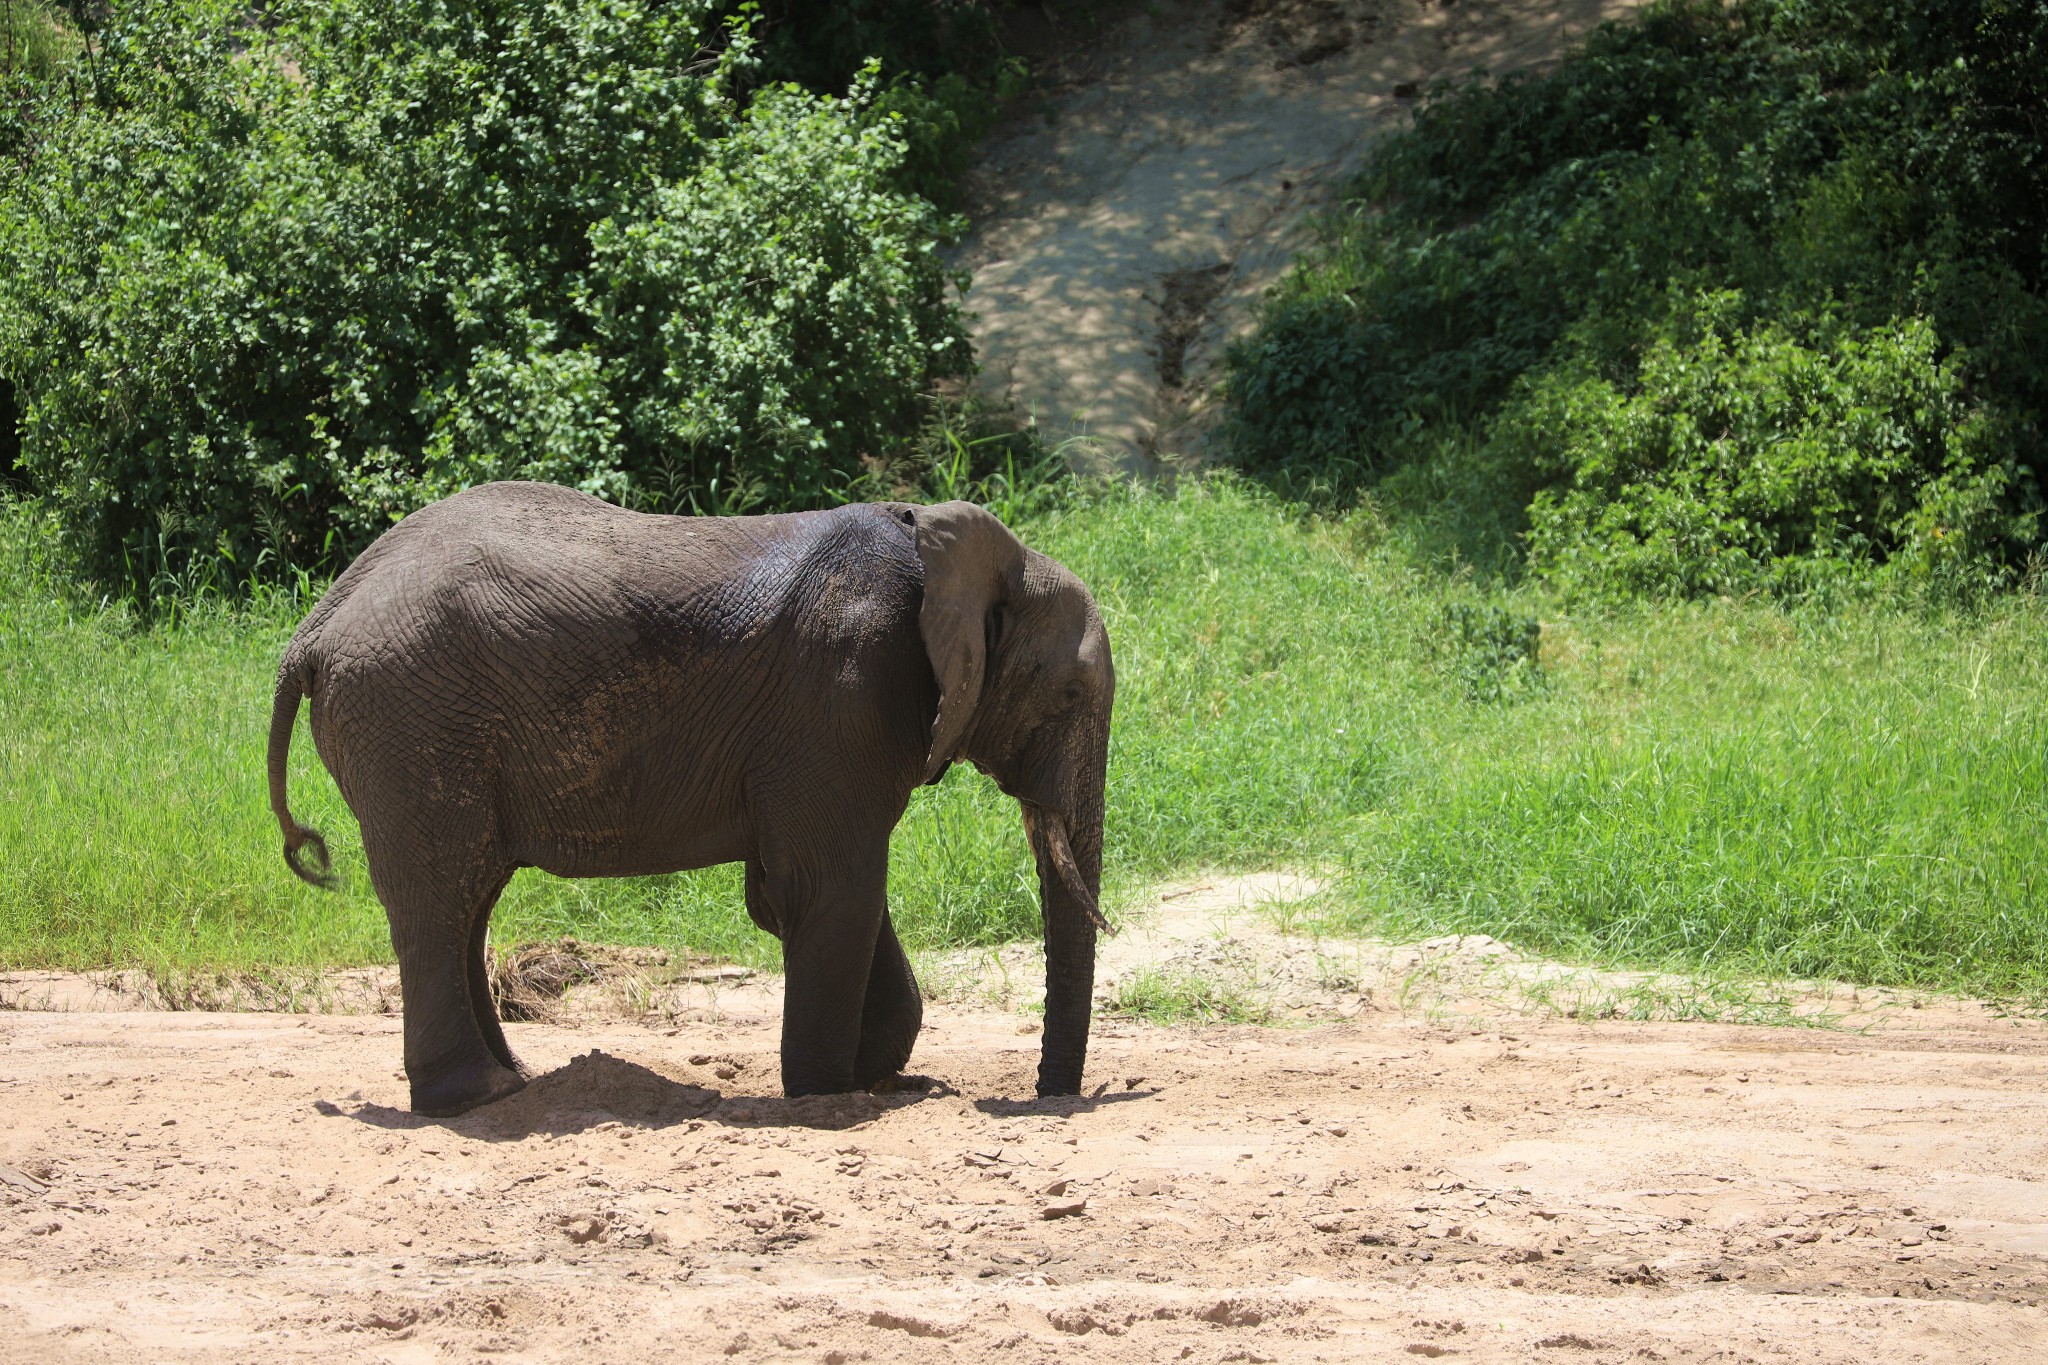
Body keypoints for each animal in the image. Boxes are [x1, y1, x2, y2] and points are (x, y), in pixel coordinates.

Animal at [268, 485, 1122, 1113]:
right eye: (1071, 694)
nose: (1048, 1094)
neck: (959, 556)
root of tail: (313, 626)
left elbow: (795, 893)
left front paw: (880, 1078)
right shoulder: (841, 693)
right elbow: (835, 888)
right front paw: (827, 1095)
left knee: (468, 899)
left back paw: (515, 1081)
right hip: (412, 719)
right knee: (440, 898)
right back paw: (474, 1098)